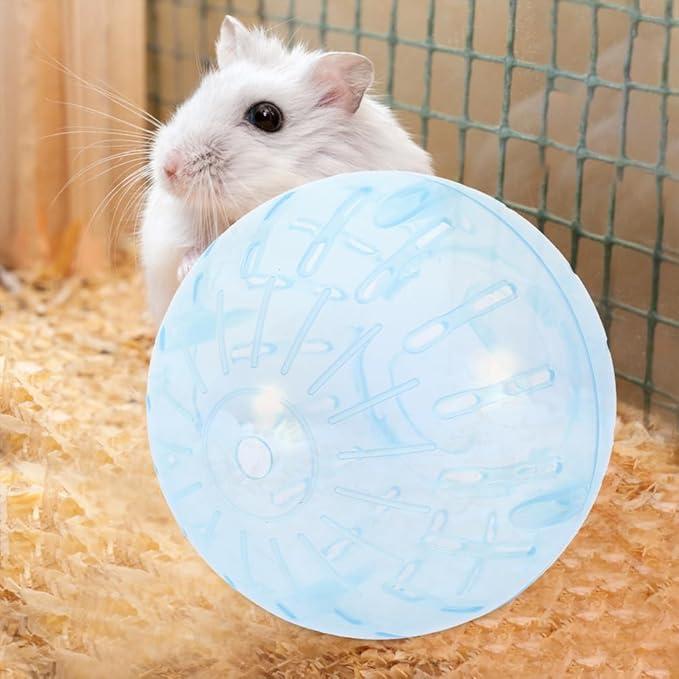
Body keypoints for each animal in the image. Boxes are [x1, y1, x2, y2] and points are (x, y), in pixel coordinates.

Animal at [140, 15, 433, 324]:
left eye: (266, 116)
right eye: (200, 94)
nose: (169, 169)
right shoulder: (171, 234)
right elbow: (183, 252)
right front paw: (193, 268)